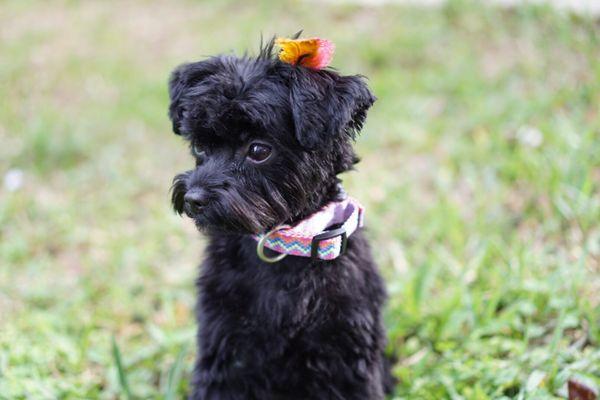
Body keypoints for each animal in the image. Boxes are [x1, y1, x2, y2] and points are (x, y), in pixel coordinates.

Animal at [169, 37, 394, 400]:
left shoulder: (347, 352)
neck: (285, 245)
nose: (193, 199)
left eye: (259, 150)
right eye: (200, 147)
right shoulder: (223, 345)